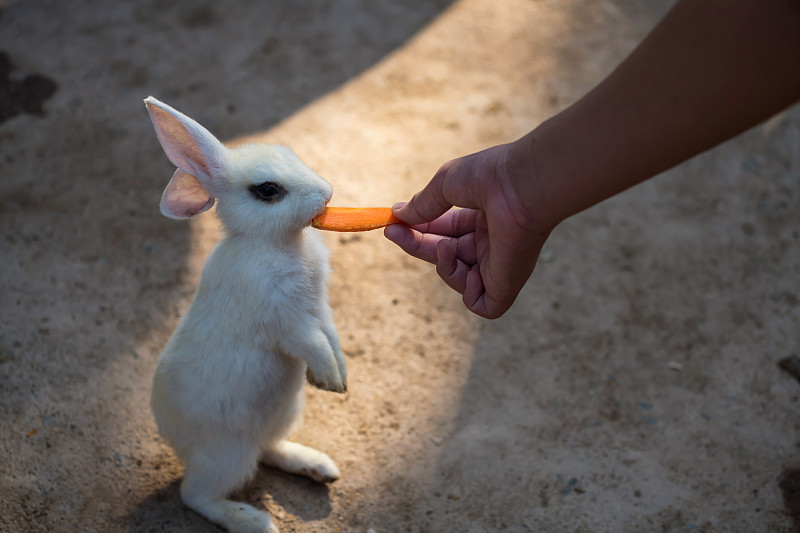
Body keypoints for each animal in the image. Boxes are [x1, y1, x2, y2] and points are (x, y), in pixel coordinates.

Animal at [143, 96, 346, 532]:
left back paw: (317, 466)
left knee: (269, 450)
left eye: (290, 153)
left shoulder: (319, 305)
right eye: (267, 191)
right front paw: (330, 379)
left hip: (283, 414)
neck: (277, 244)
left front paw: (340, 377)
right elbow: (313, 342)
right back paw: (255, 521)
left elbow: (332, 336)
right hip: (227, 455)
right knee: (195, 495)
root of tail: (177, 441)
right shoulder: (285, 320)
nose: (326, 193)